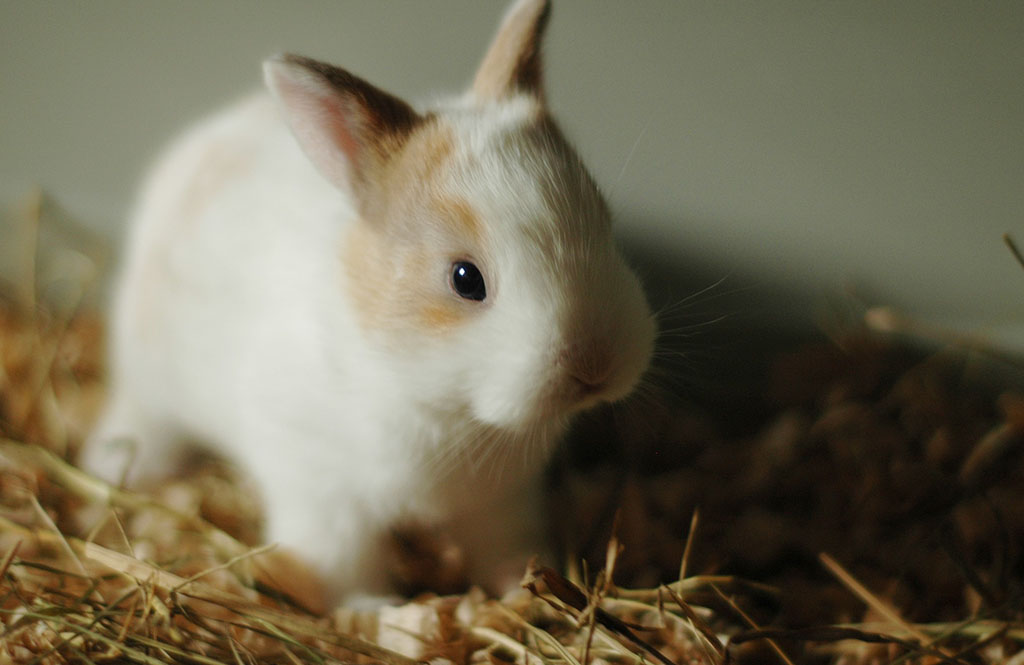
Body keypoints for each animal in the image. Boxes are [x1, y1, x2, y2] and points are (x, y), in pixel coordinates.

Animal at [81, 0, 655, 602]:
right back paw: (117, 466)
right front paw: (373, 610)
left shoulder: (502, 500)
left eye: (605, 224)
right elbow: (342, 564)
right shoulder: (323, 494)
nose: (594, 367)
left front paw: (522, 589)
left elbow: (506, 544)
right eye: (465, 279)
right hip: (150, 379)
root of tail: (205, 135)